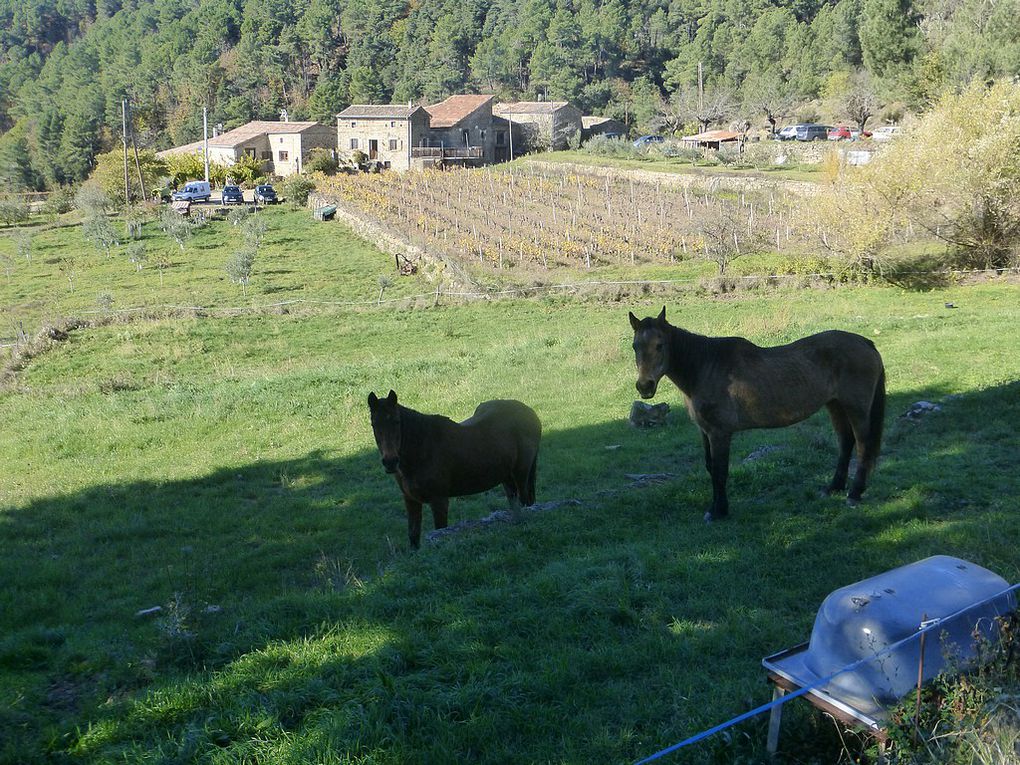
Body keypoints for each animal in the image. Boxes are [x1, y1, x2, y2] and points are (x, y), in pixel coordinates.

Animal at [367, 391, 542, 546]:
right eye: (374, 424)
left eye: (396, 421)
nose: (390, 462)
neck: (422, 450)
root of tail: (530, 413)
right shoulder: (410, 500)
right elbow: (414, 537)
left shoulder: (439, 501)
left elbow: (441, 530)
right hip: (507, 478)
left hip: (521, 475)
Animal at [628, 308, 885, 526]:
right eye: (635, 346)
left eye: (660, 345)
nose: (644, 386)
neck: (705, 367)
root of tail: (865, 342)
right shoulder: (704, 431)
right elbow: (711, 468)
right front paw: (717, 507)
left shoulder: (720, 433)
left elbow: (720, 471)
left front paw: (718, 511)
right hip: (835, 405)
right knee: (846, 442)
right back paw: (834, 487)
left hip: (856, 408)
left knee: (863, 445)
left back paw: (854, 493)